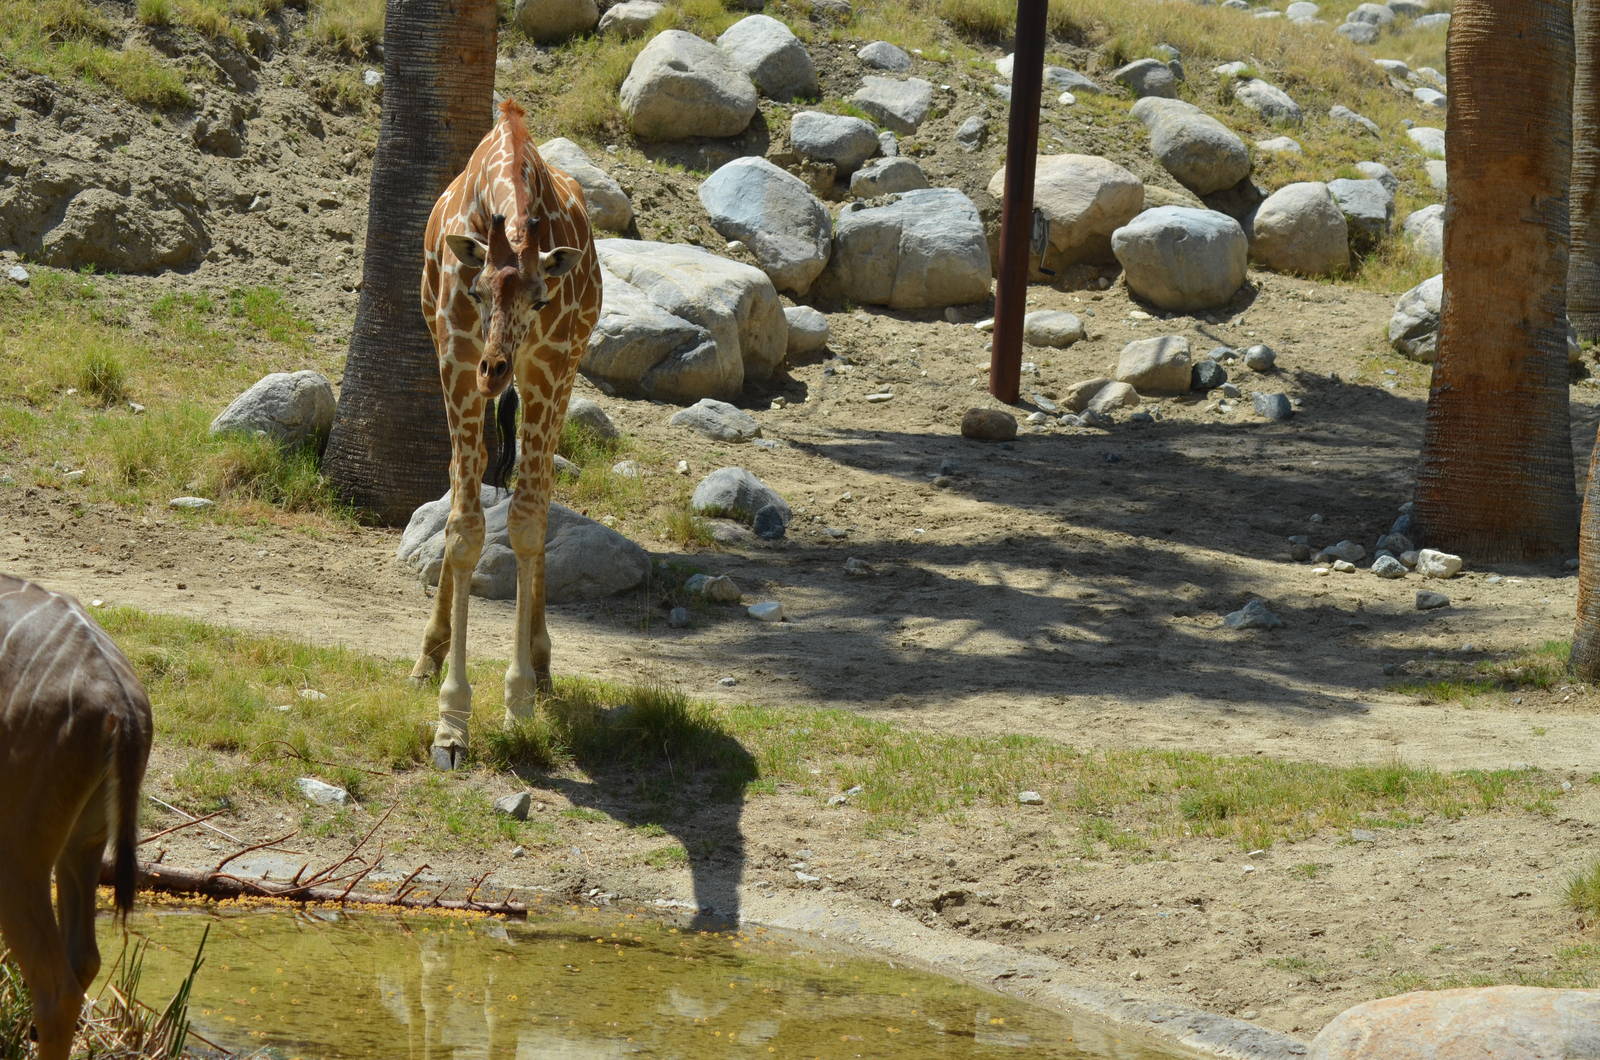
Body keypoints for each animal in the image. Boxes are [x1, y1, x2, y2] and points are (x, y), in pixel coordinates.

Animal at [407, 99, 603, 770]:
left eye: (541, 299)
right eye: (476, 289)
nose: (496, 369)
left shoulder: (547, 365)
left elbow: (525, 523)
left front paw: (518, 704)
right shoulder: (454, 356)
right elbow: (466, 527)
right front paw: (450, 724)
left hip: (565, 372)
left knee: (538, 497)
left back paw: (542, 668)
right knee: (457, 486)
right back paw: (427, 655)